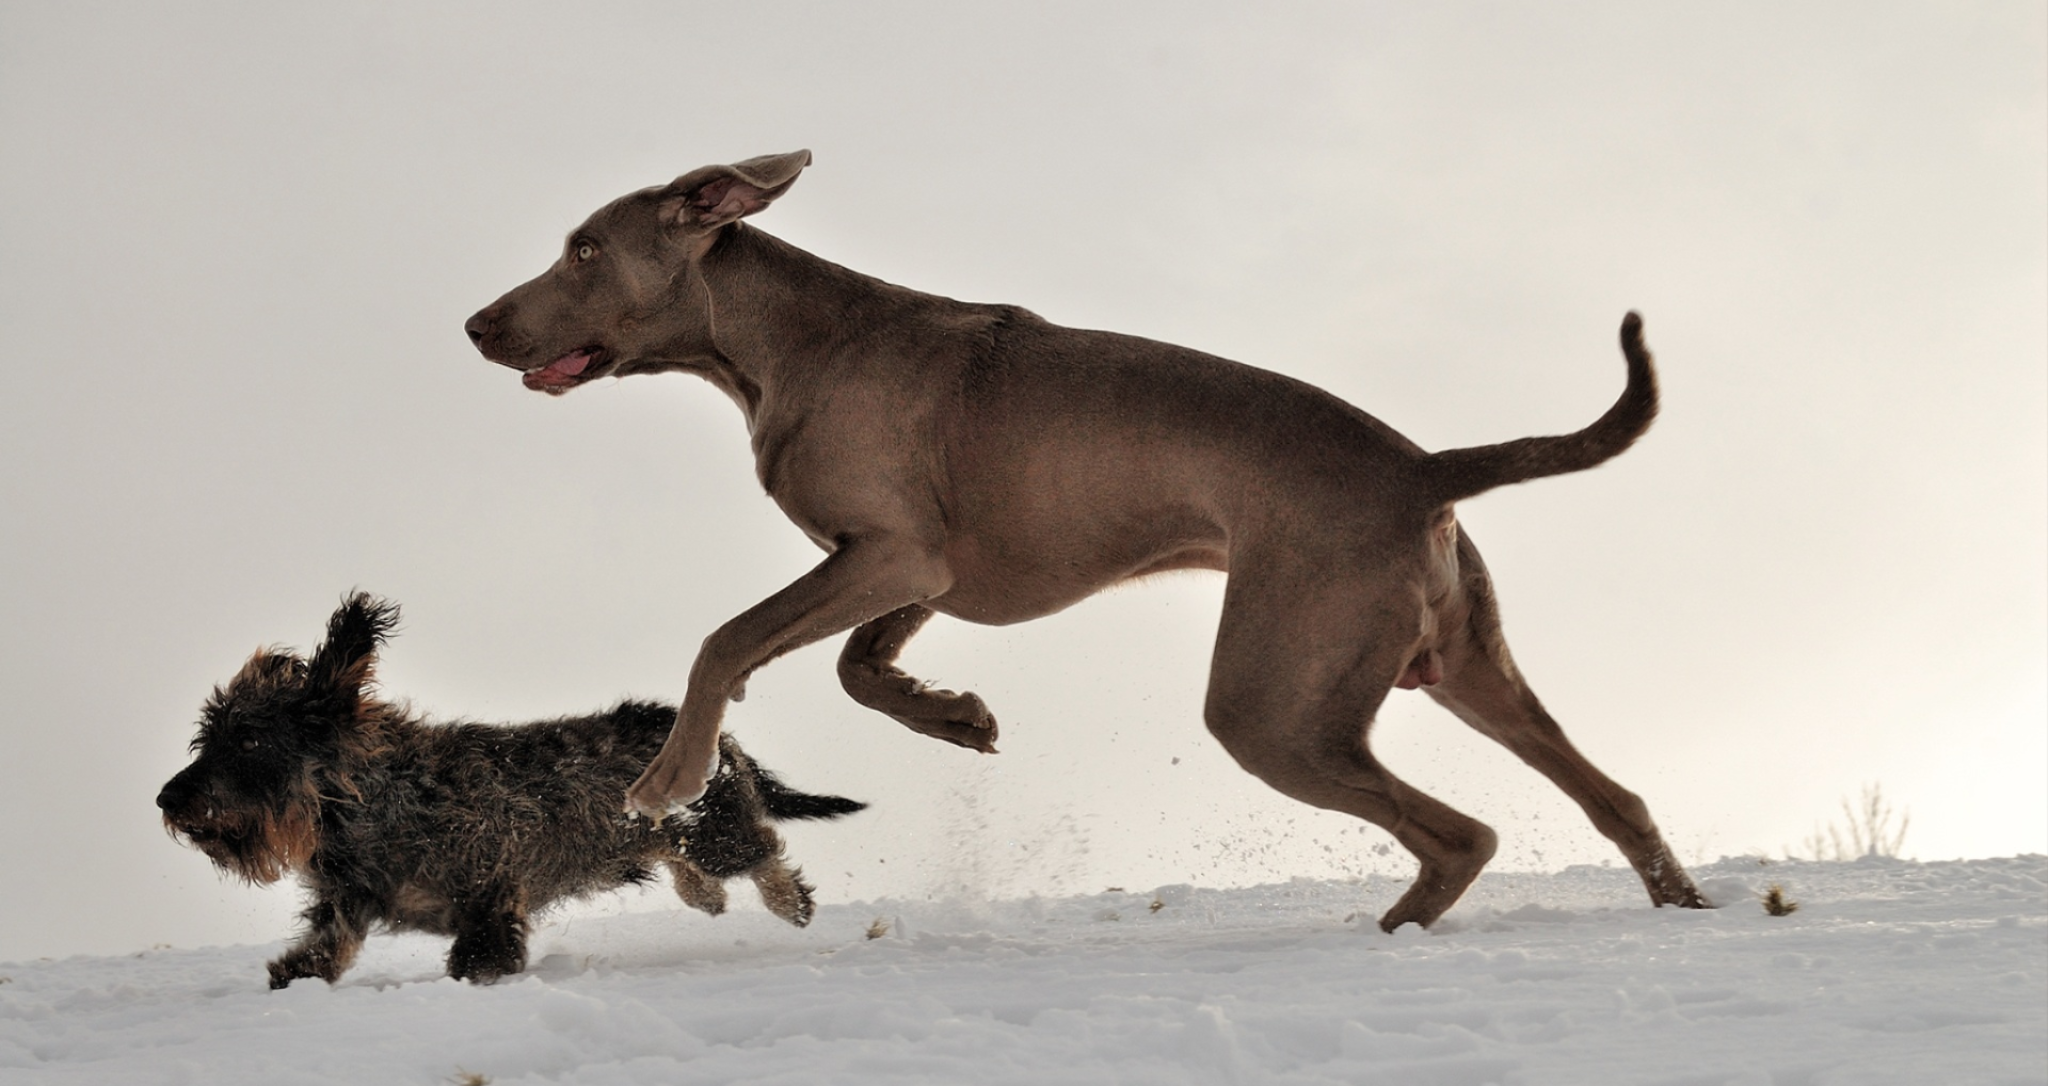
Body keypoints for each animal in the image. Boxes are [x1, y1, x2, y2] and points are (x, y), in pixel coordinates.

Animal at [157, 590, 864, 979]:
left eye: (249, 740)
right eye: (209, 735)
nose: (167, 799)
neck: (373, 800)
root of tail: (723, 744)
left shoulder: (492, 895)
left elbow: (478, 958)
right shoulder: (345, 906)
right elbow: (320, 953)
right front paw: (293, 979)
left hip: (717, 834)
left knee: (763, 852)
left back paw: (787, 904)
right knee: (696, 863)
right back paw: (707, 896)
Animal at [464, 151, 1712, 926]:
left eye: (582, 250)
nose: (476, 323)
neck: (775, 340)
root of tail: (1421, 468)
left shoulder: (891, 553)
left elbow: (728, 640)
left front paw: (665, 778)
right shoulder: (921, 565)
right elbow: (859, 666)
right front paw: (953, 716)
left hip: (1273, 701)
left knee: (1460, 835)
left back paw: (1398, 928)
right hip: (1458, 664)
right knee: (1615, 799)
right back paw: (1680, 905)